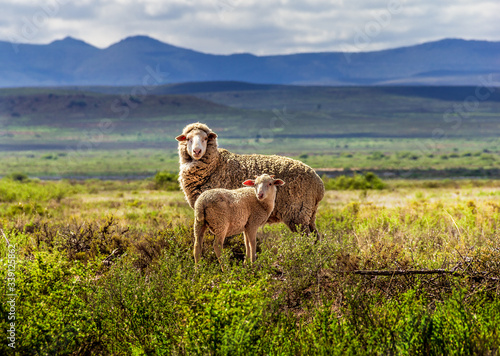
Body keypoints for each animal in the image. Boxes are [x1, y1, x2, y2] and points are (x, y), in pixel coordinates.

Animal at [175, 122, 324, 236]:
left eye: (205, 138)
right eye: (187, 138)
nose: (197, 151)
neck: (215, 164)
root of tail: (319, 184)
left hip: (298, 213)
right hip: (309, 213)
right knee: (316, 237)